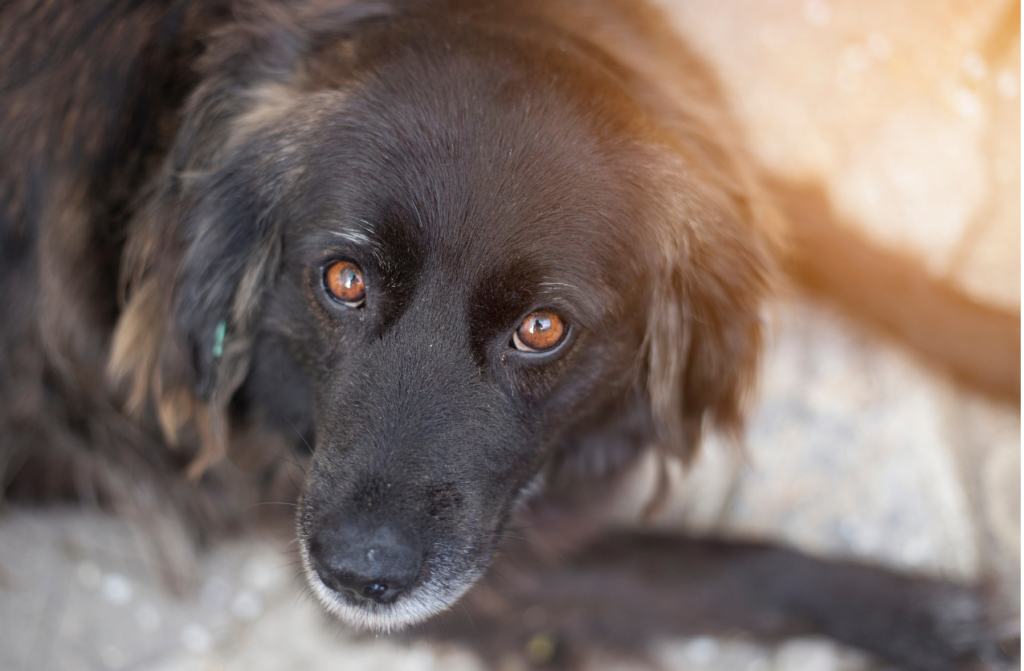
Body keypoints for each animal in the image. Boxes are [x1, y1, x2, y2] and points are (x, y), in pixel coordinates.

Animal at [0, 0, 1015, 667]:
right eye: (343, 278)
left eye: (542, 327)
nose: (361, 574)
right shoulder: (482, 582)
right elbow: (727, 564)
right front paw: (946, 620)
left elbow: (826, 234)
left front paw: (991, 340)